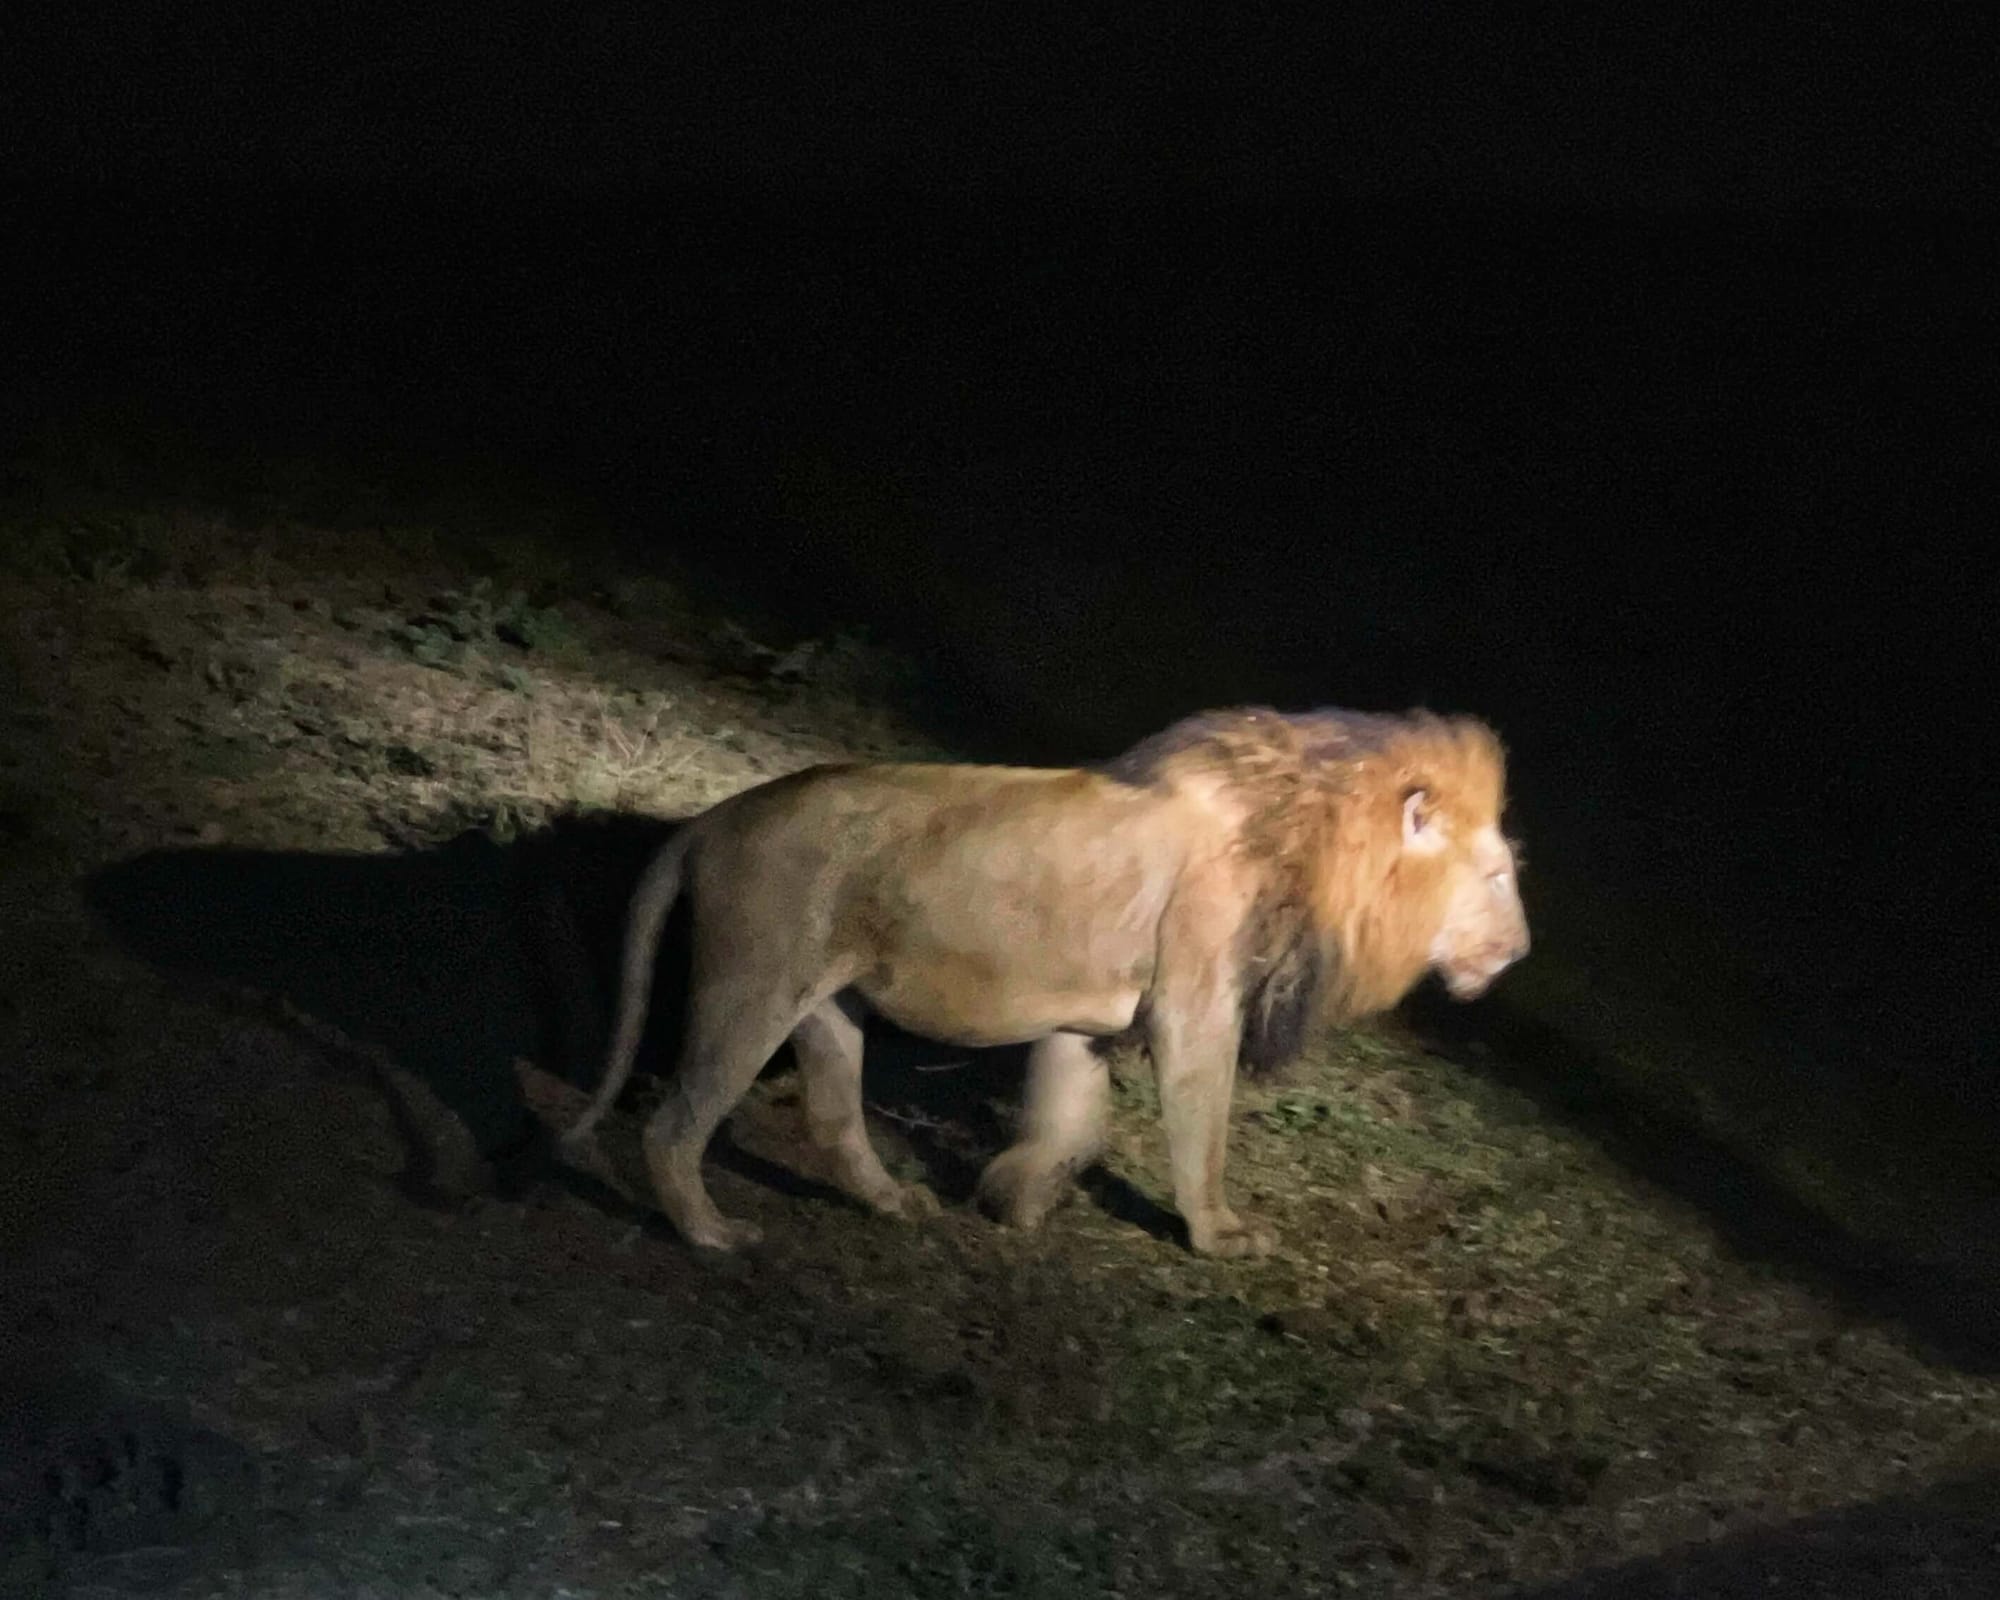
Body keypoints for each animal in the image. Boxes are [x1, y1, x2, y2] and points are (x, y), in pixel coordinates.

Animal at [564, 708, 1528, 1256]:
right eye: (1494, 877)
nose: (1519, 951)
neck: (1314, 842)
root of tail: (713, 818)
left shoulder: (1087, 1020)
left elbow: (1069, 1118)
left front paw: (1014, 1202)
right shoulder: (1197, 1007)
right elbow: (1203, 1131)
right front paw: (1220, 1236)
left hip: (829, 1001)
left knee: (833, 1119)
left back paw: (893, 1204)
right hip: (754, 985)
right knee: (675, 1124)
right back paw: (711, 1236)